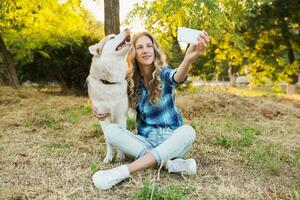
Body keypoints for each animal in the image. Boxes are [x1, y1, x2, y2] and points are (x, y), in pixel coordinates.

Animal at [85, 28, 130, 162]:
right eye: (112, 37)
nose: (127, 28)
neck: (109, 83)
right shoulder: (103, 117)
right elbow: (108, 141)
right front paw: (109, 157)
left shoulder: (121, 116)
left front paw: (120, 156)